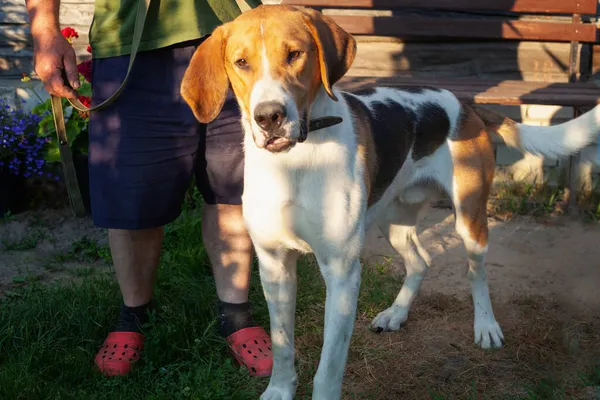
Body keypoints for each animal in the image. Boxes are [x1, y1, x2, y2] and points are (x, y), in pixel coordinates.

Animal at [182, 3, 600, 400]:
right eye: (241, 62)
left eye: (295, 54)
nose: (269, 117)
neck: (295, 161)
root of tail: (464, 104)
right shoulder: (273, 263)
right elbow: (283, 346)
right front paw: (279, 390)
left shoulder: (342, 273)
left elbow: (328, 369)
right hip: (392, 219)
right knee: (420, 261)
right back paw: (396, 314)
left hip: (469, 217)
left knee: (476, 273)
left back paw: (486, 326)